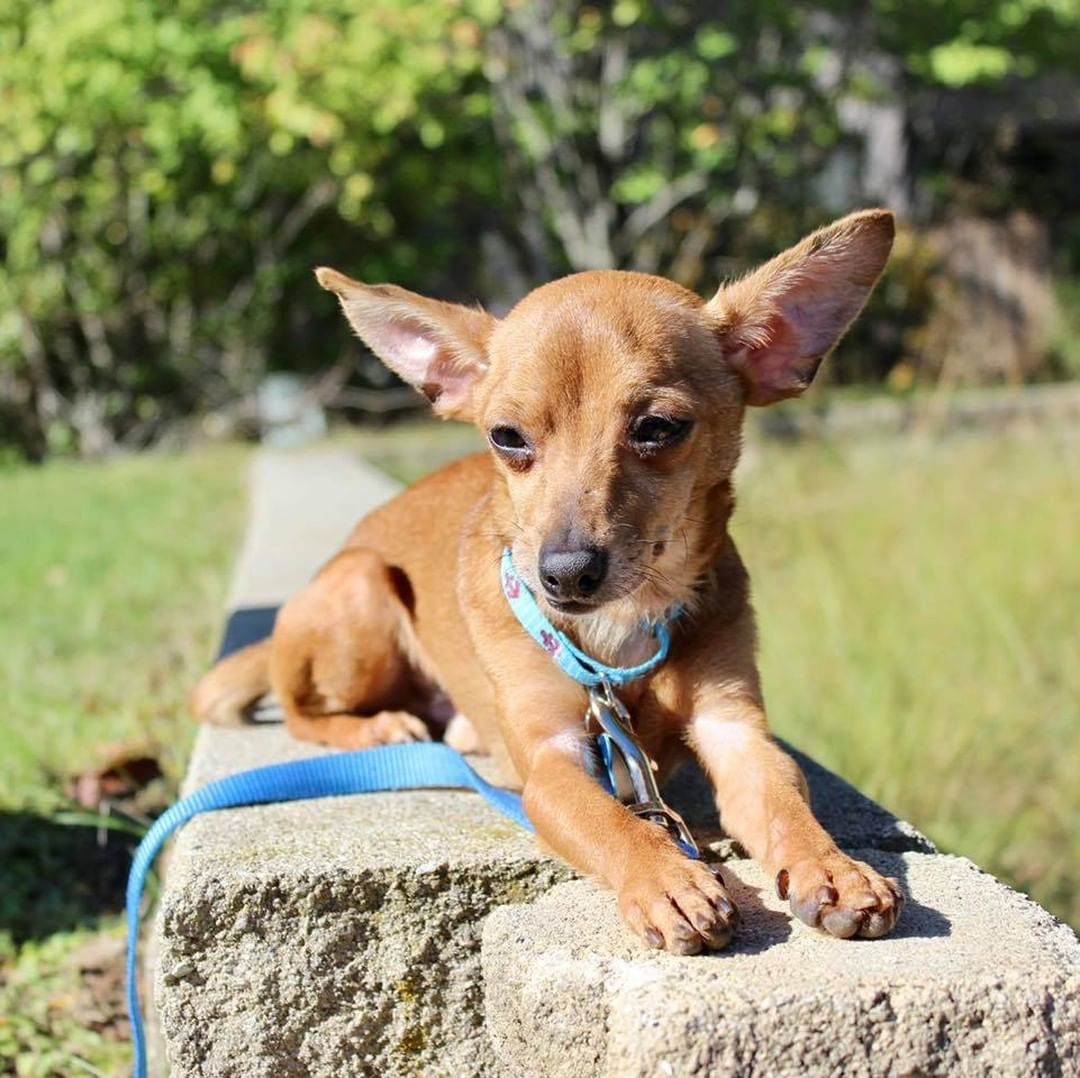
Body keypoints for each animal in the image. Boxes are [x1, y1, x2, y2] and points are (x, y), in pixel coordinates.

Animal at [192, 210, 902, 954]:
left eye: (659, 427)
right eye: (506, 437)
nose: (563, 574)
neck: (624, 627)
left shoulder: (735, 730)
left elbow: (786, 799)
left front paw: (834, 867)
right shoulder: (552, 762)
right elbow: (611, 820)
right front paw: (667, 879)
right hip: (362, 583)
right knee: (301, 707)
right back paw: (380, 728)